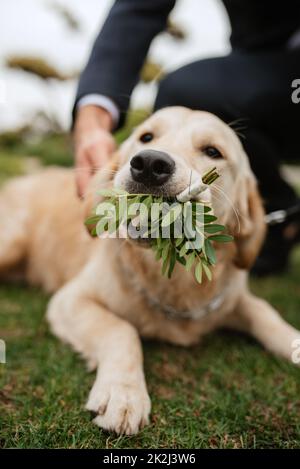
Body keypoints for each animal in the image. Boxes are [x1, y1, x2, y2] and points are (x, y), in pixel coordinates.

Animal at [0, 107, 300, 436]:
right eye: (147, 137)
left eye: (212, 151)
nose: (149, 164)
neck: (171, 279)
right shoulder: (70, 300)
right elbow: (122, 329)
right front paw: (123, 393)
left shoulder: (230, 298)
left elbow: (265, 313)